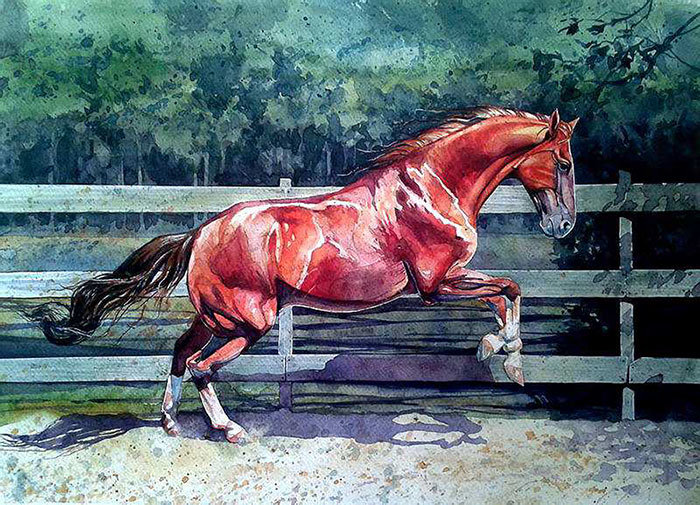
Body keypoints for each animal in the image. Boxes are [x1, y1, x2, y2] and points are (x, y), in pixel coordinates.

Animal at [27, 106, 578, 443]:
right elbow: (509, 289)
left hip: (213, 318)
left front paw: (501, 355)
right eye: (562, 161)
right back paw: (230, 430)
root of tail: (200, 233)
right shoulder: (435, 284)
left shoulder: (446, 282)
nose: (564, 225)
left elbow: (505, 293)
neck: (431, 187)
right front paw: (502, 355)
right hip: (248, 323)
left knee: (181, 354)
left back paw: (169, 423)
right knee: (203, 367)